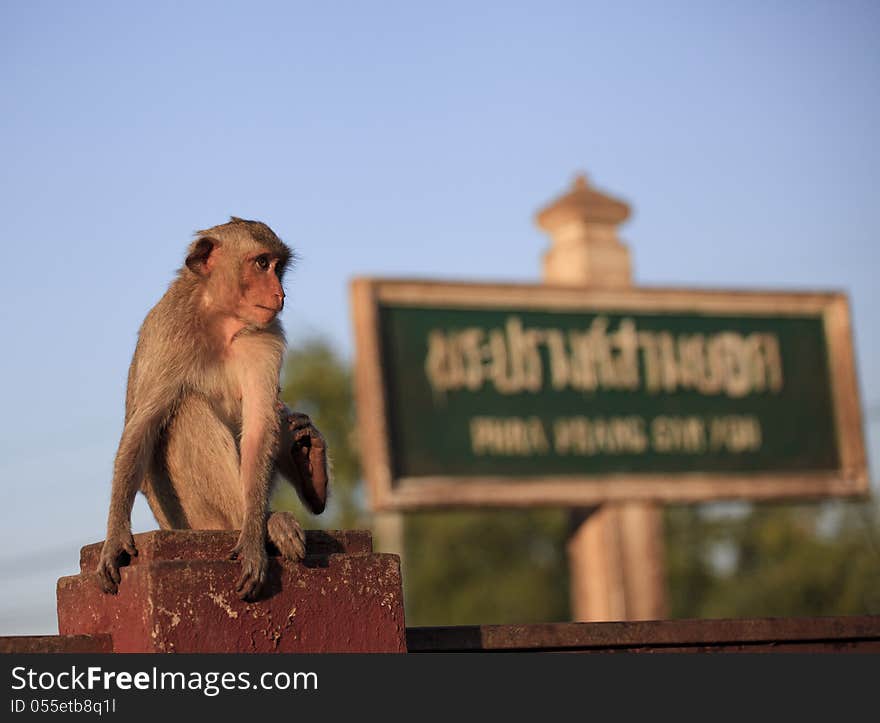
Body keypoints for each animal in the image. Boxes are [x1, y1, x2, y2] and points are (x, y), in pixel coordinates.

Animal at [97, 216, 330, 600]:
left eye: (278, 267)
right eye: (261, 263)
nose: (279, 294)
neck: (220, 320)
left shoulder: (265, 338)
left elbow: (259, 427)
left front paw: (252, 539)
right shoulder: (166, 333)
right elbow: (142, 425)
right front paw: (115, 536)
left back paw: (305, 474)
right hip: (191, 516)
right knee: (186, 408)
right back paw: (267, 518)